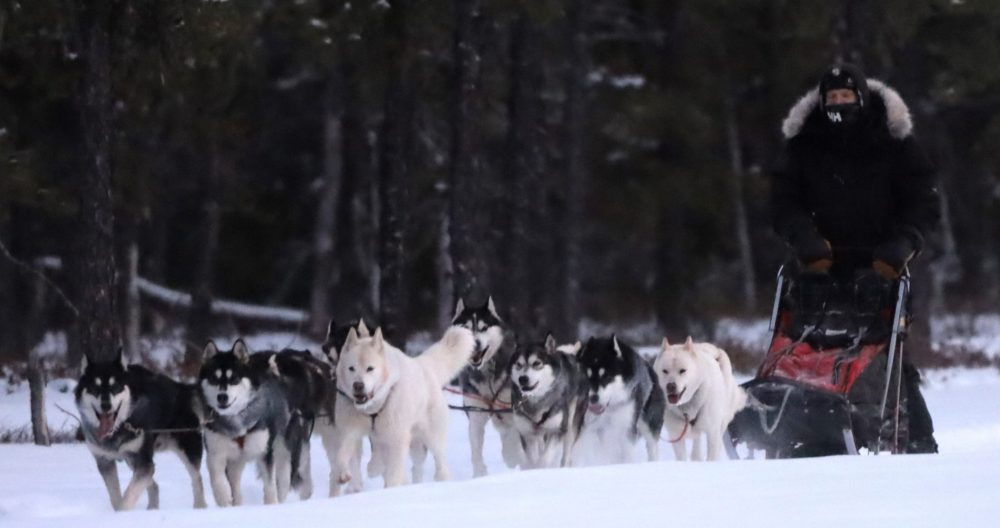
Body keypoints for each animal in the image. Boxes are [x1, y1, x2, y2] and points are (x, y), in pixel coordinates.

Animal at [76, 348, 207, 510]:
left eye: (115, 387)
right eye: (95, 388)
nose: (106, 406)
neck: (120, 426)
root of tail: (180, 387)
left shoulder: (143, 462)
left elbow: (128, 496)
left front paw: (122, 512)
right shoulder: (105, 461)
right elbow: (116, 496)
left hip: (186, 449)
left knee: (197, 479)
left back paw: (200, 506)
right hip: (133, 461)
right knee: (154, 485)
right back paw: (152, 509)